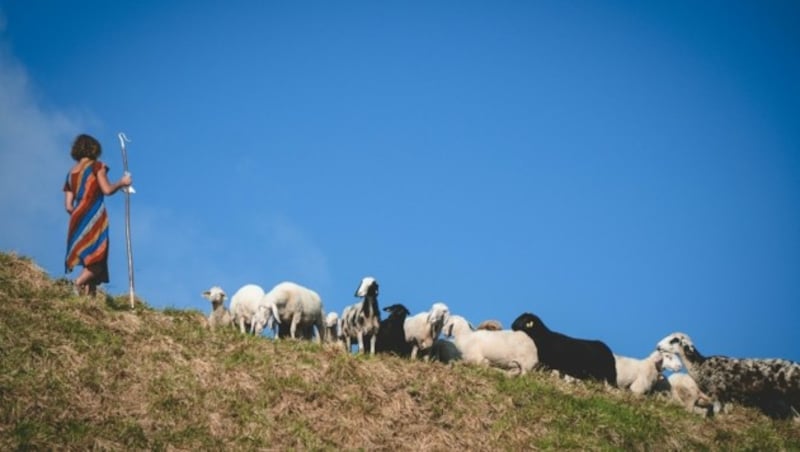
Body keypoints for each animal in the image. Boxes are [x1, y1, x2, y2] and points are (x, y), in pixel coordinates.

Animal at [656, 330, 800, 418]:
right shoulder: (727, 397)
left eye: (674, 340)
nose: (657, 346)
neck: (701, 365)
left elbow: (717, 411)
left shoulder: (718, 393)